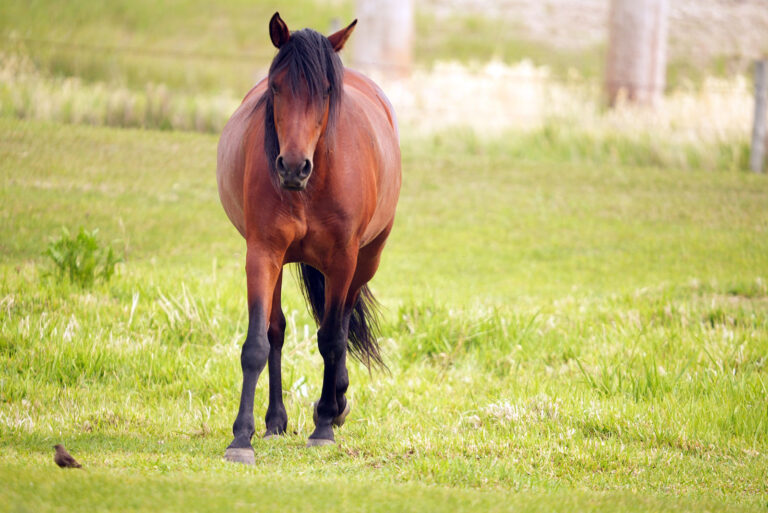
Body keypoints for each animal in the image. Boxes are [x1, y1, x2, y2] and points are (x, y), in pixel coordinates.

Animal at [216, 12, 401, 463]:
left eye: (326, 92)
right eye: (276, 87)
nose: (292, 167)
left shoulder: (343, 259)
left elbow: (332, 339)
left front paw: (324, 426)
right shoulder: (262, 253)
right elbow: (257, 344)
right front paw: (242, 437)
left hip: (365, 262)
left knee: (343, 321)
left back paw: (334, 405)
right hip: (281, 262)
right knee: (277, 331)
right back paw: (275, 421)